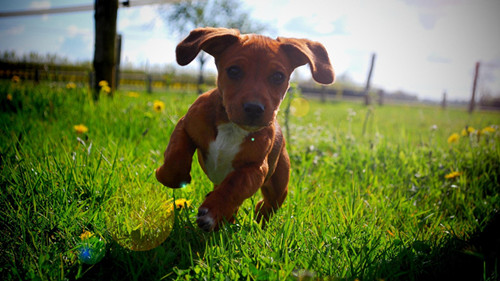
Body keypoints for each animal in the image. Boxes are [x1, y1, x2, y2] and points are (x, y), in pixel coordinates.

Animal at [156, 27, 334, 231]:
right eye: (234, 71)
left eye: (278, 76)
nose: (254, 108)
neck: (232, 126)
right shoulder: (185, 125)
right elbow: (175, 158)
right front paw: (165, 174)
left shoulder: (256, 168)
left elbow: (235, 185)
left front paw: (213, 211)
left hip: (279, 185)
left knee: (268, 203)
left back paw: (255, 218)